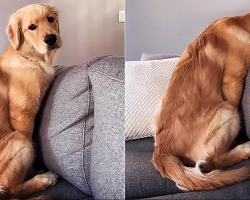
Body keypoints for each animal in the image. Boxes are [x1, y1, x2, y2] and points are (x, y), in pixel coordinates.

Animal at [0, 3, 62, 200]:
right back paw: (44, 179)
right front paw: (32, 173)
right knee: (11, 189)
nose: (51, 39)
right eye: (31, 27)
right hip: (18, 140)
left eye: (50, 19)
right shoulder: (21, 114)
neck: (30, 56)